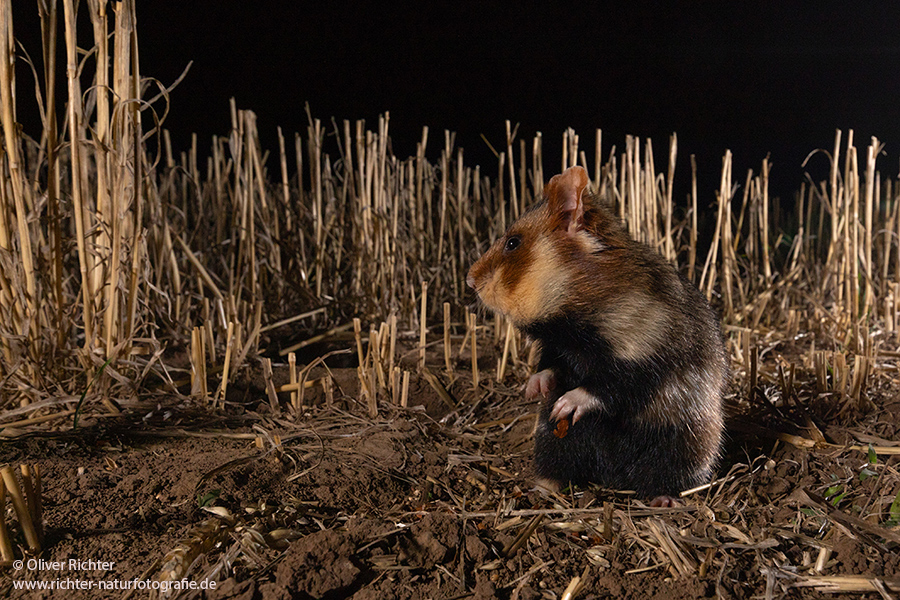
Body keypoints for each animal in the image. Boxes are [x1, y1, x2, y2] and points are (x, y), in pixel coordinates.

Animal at [466, 166, 727, 505]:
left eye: (512, 243)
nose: (469, 281)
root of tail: (613, 478)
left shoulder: (647, 351)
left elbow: (609, 385)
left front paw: (565, 404)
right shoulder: (559, 347)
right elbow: (548, 366)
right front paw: (534, 390)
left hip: (684, 444)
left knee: (668, 476)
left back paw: (663, 501)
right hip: (552, 440)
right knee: (557, 465)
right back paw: (541, 489)